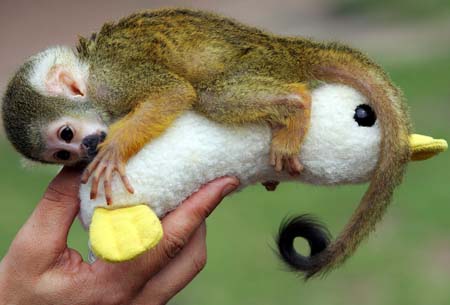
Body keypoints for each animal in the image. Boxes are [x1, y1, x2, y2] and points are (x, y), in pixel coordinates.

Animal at [2, 8, 390, 204]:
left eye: (67, 133)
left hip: (258, 62)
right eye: (61, 154)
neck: (89, 68)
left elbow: (172, 93)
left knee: (212, 98)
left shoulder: (113, 77)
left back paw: (296, 105)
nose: (85, 148)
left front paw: (113, 149)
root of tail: (283, 46)